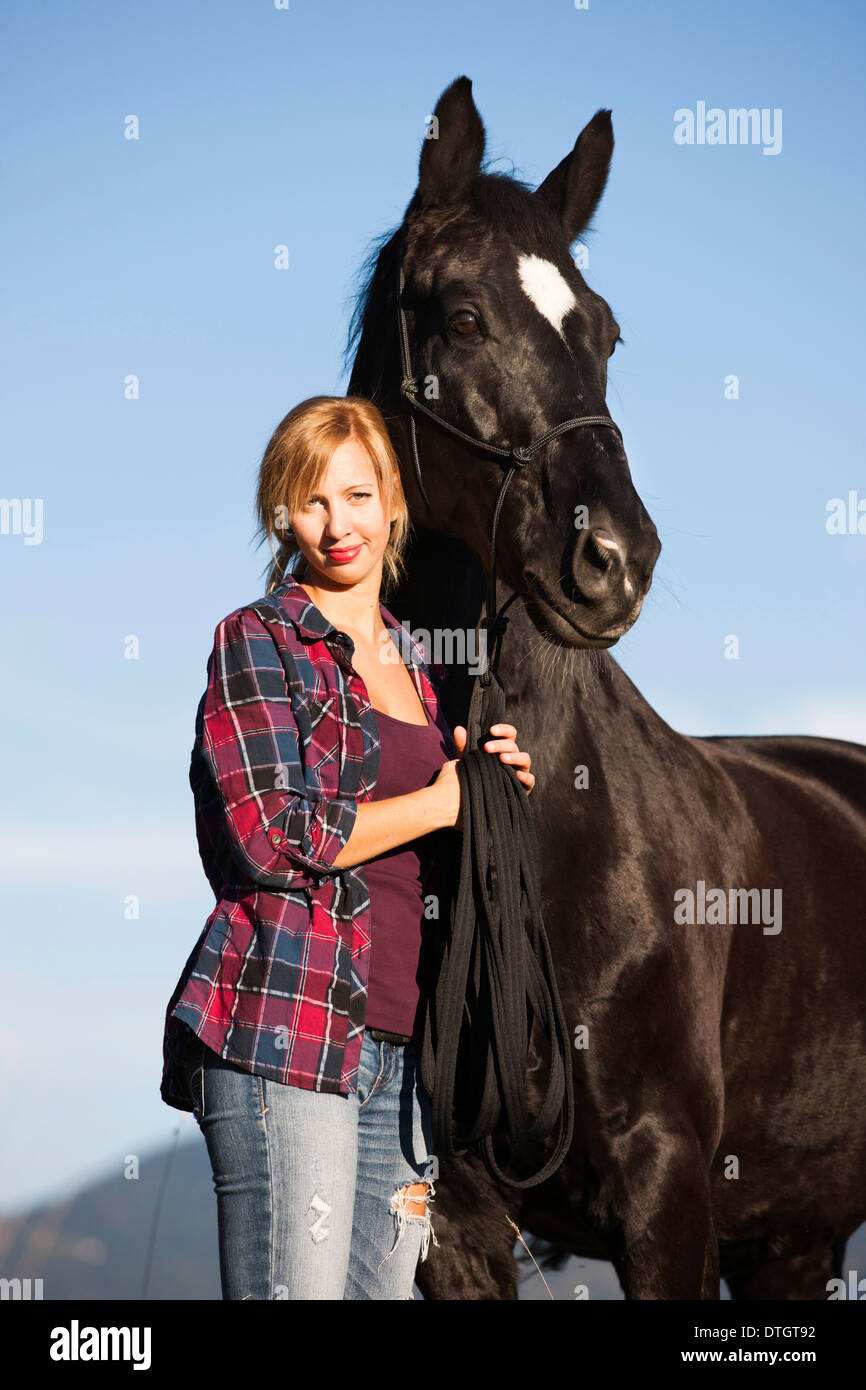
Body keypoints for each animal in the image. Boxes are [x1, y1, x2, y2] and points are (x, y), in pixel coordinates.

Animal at [346, 76, 866, 1295]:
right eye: (463, 317)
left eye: (606, 330)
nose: (616, 558)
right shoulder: (455, 1223)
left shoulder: (665, 1191)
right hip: (793, 1236)